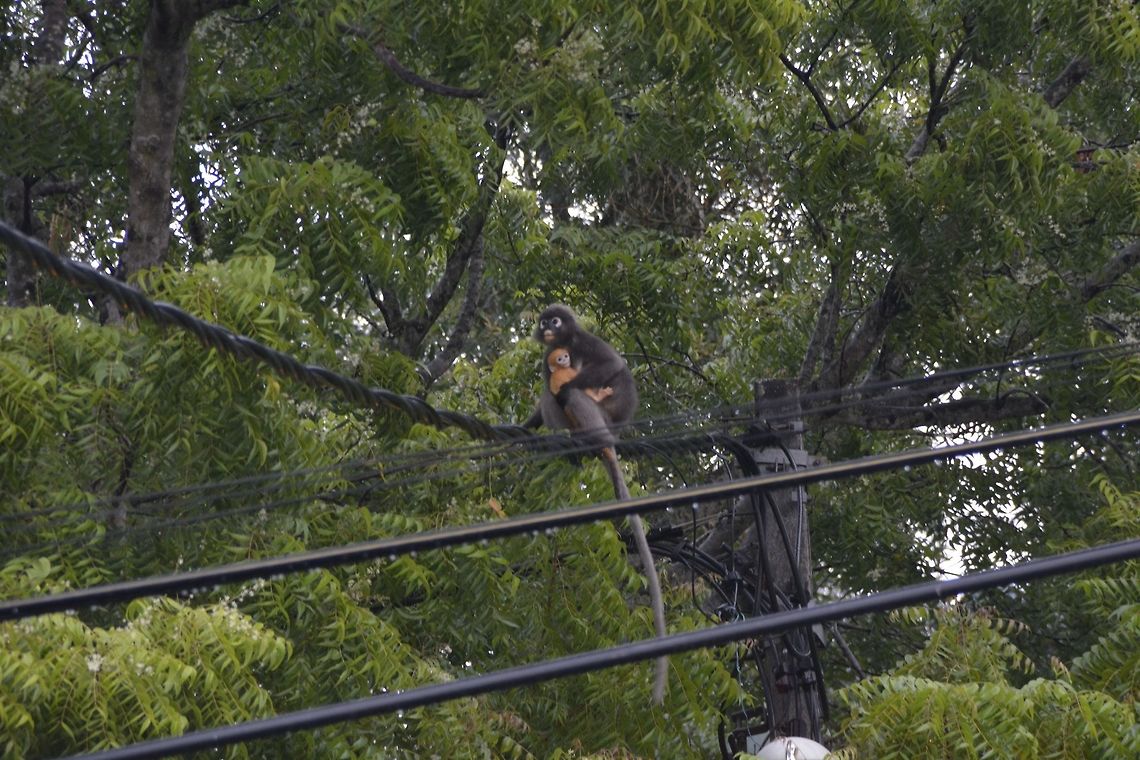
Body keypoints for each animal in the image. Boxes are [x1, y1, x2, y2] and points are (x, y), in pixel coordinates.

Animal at [524, 304, 667, 704]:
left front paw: (568, 382)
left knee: (569, 396)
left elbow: (611, 363)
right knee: (549, 395)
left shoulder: (583, 342)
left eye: (556, 321)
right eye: (545, 322)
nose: (548, 326)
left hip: (601, 416)